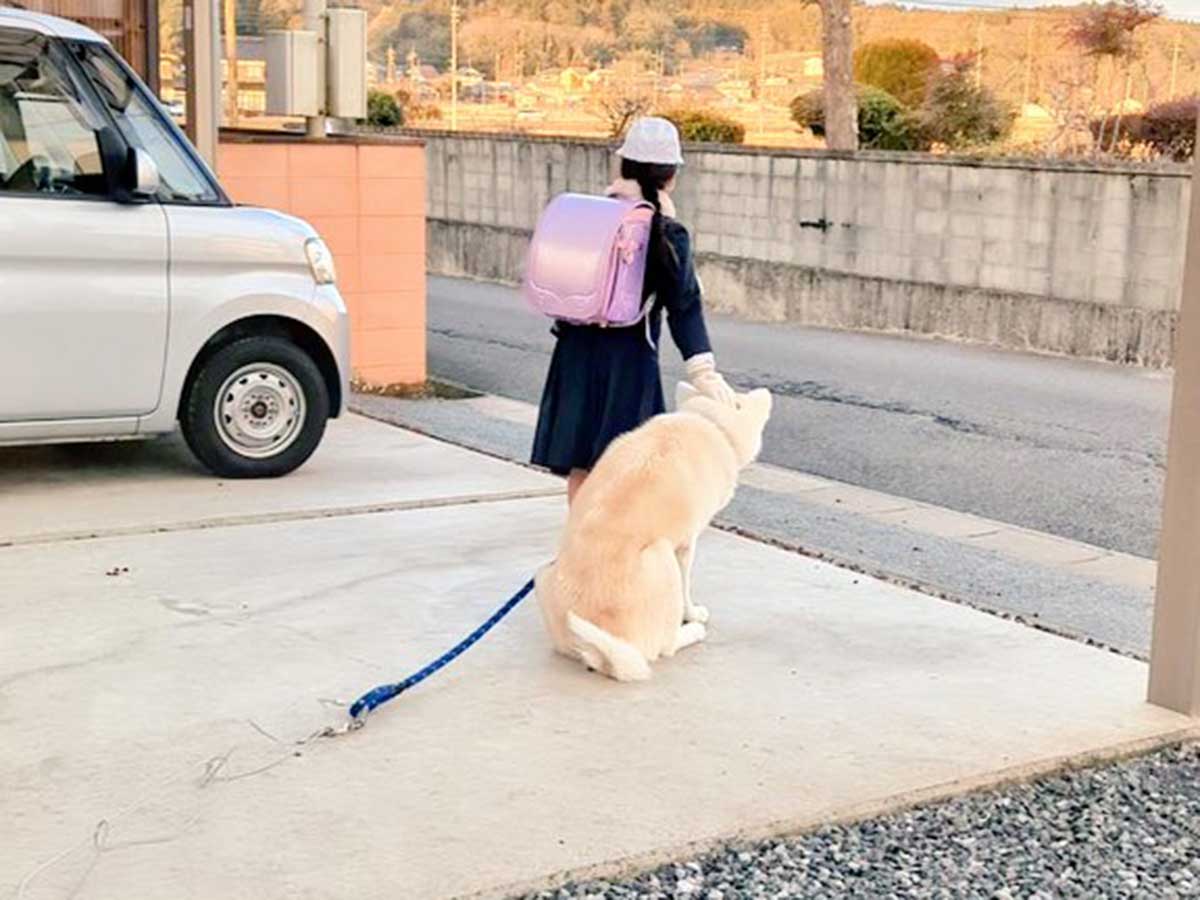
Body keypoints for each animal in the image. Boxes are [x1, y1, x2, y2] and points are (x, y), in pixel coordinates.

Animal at [532, 381, 768, 681]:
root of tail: (599, 654)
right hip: (662, 556)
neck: (708, 422)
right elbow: (686, 588)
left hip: (542, 575)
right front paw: (693, 614)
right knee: (665, 647)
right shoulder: (686, 543)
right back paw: (692, 632)